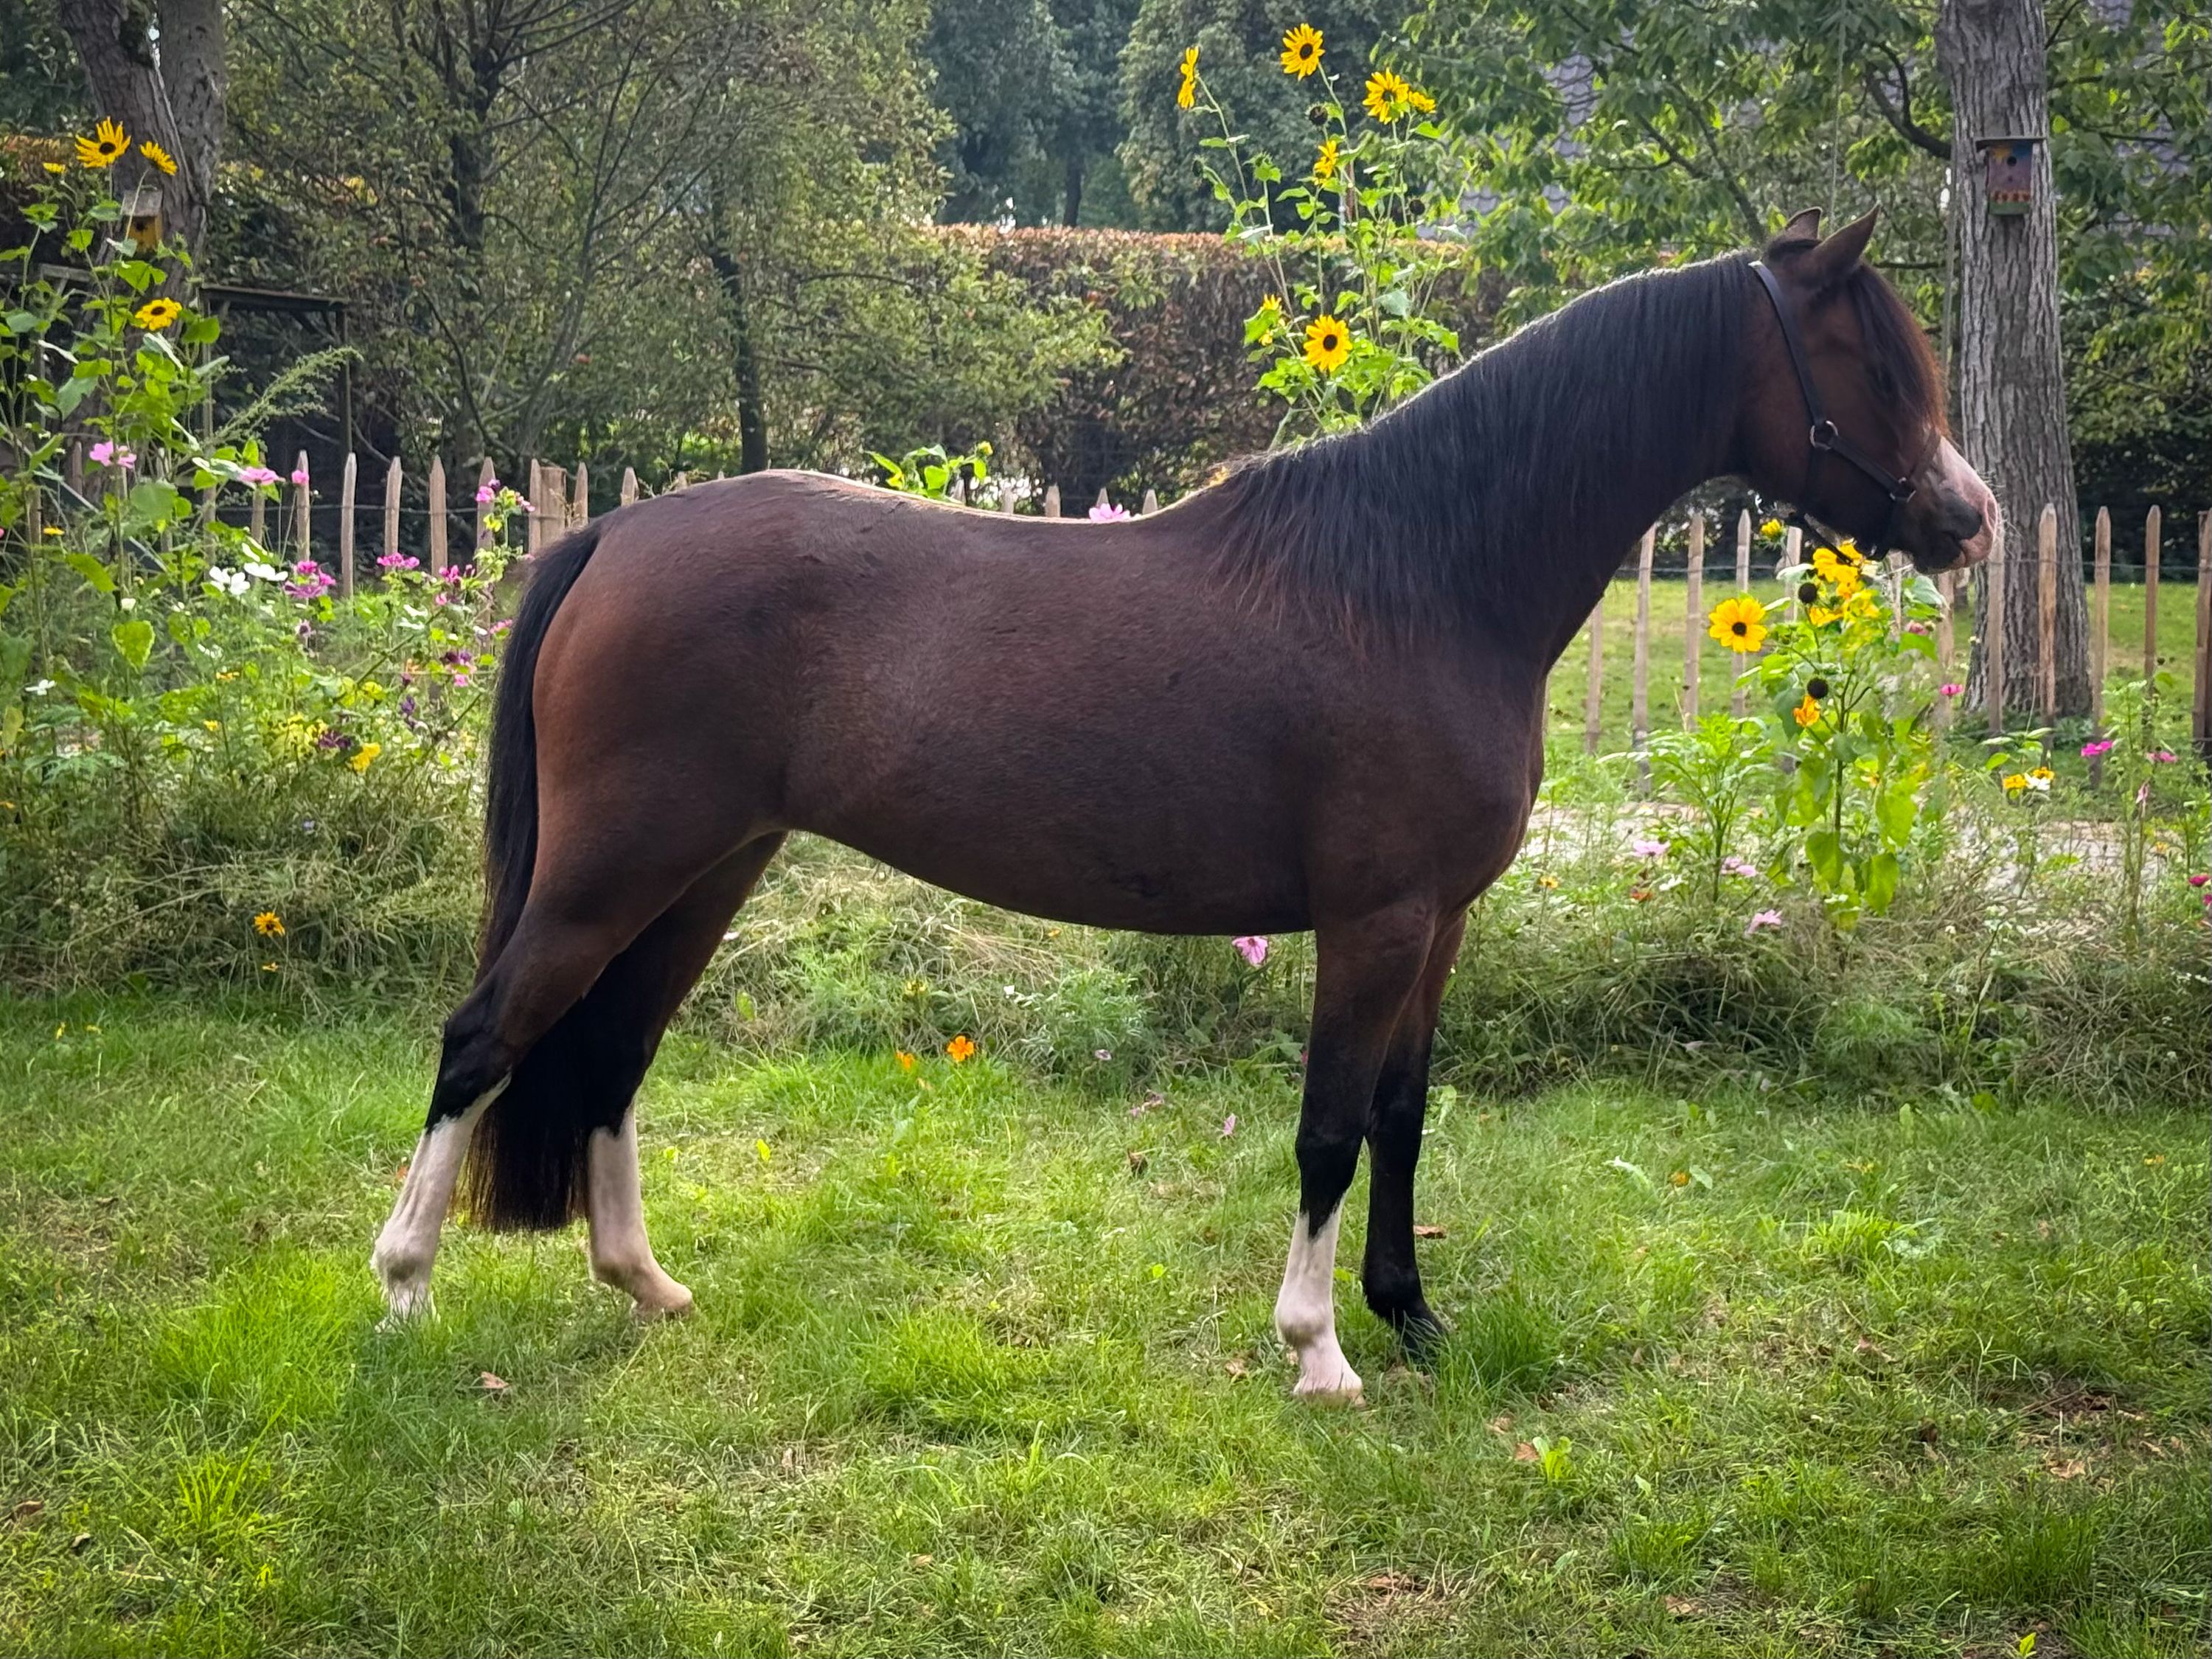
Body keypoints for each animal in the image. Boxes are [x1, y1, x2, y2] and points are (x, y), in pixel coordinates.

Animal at [372, 208, 1997, 1401]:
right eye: (1876, 362)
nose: (1966, 518)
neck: (1424, 579)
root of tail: (616, 536)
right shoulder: (1374, 921)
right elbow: (1329, 1128)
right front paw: (1319, 1352)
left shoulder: (1440, 926)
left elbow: (1402, 1115)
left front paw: (1414, 1320)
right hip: (615, 869)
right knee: (481, 1039)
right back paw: (401, 1294)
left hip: (709, 867)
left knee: (614, 1054)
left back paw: (645, 1285)